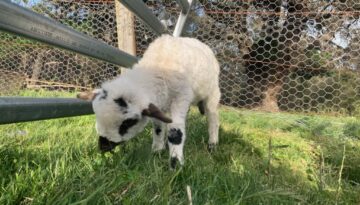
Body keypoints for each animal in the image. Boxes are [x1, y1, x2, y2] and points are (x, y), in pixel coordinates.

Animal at [77, 34, 221, 168]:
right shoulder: (158, 106)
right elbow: (158, 128)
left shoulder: (180, 98)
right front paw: (157, 151)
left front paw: (176, 164)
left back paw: (212, 145)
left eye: (128, 123)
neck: (157, 68)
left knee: (213, 118)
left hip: (213, 93)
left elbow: (175, 132)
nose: (103, 147)